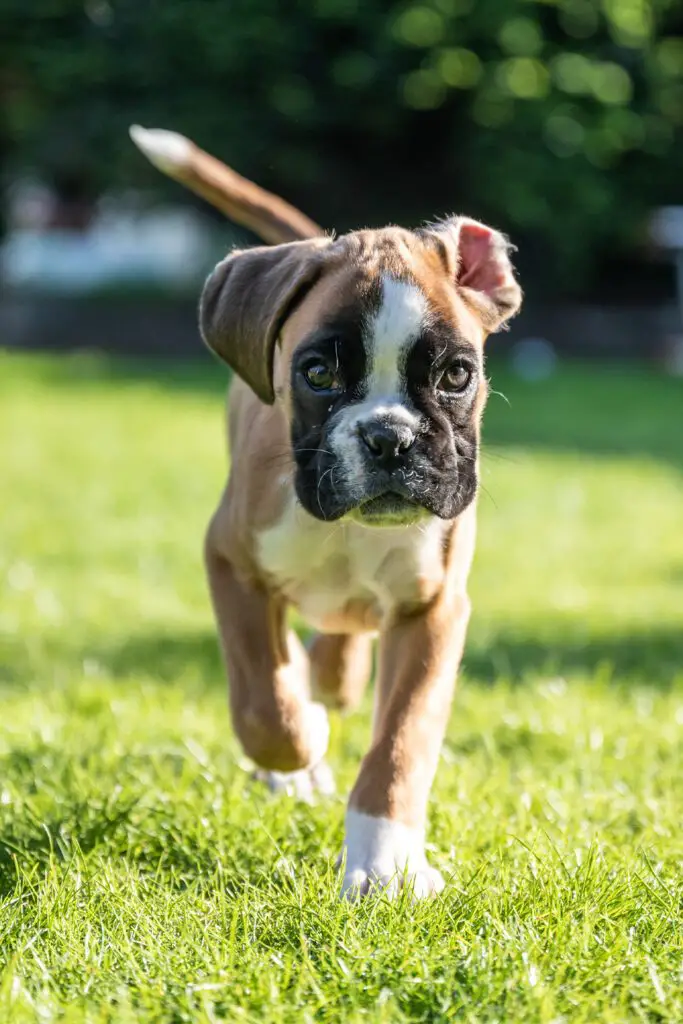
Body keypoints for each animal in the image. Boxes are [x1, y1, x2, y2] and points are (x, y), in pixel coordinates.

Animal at [129, 125, 524, 897]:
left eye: (456, 375)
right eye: (317, 374)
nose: (390, 438)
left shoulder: (432, 610)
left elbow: (400, 745)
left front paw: (385, 864)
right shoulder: (231, 564)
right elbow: (266, 707)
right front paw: (299, 750)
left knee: (341, 655)